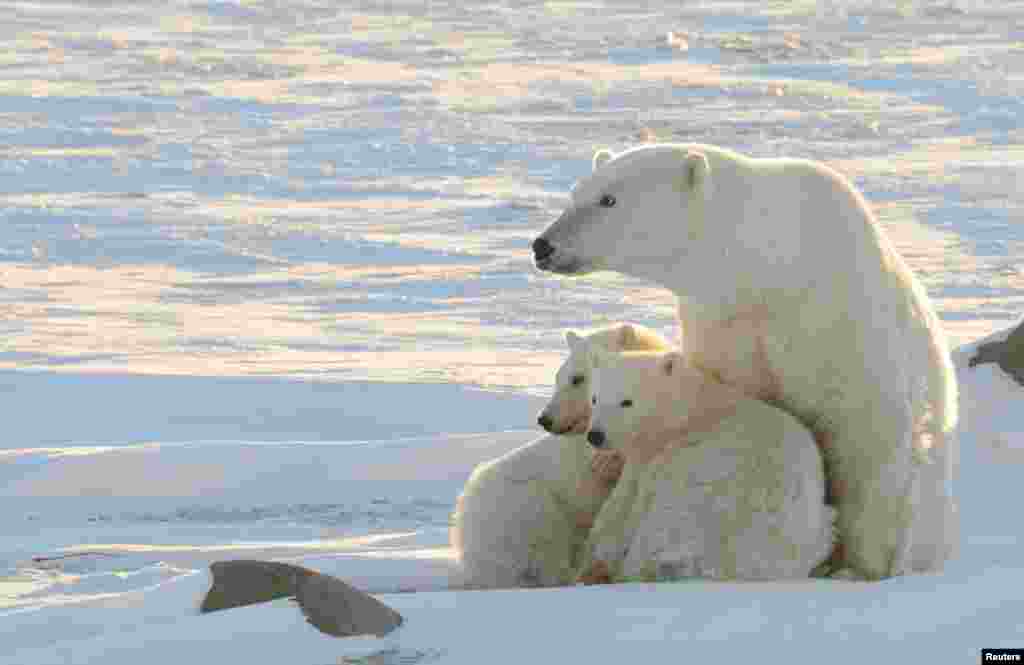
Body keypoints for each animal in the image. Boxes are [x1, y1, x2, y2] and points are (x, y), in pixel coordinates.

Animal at [532, 143, 954, 573]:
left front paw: (861, 565)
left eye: (608, 199)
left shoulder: (839, 320)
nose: (542, 245)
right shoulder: (723, 324)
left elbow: (867, 435)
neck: (774, 263)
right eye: (575, 193)